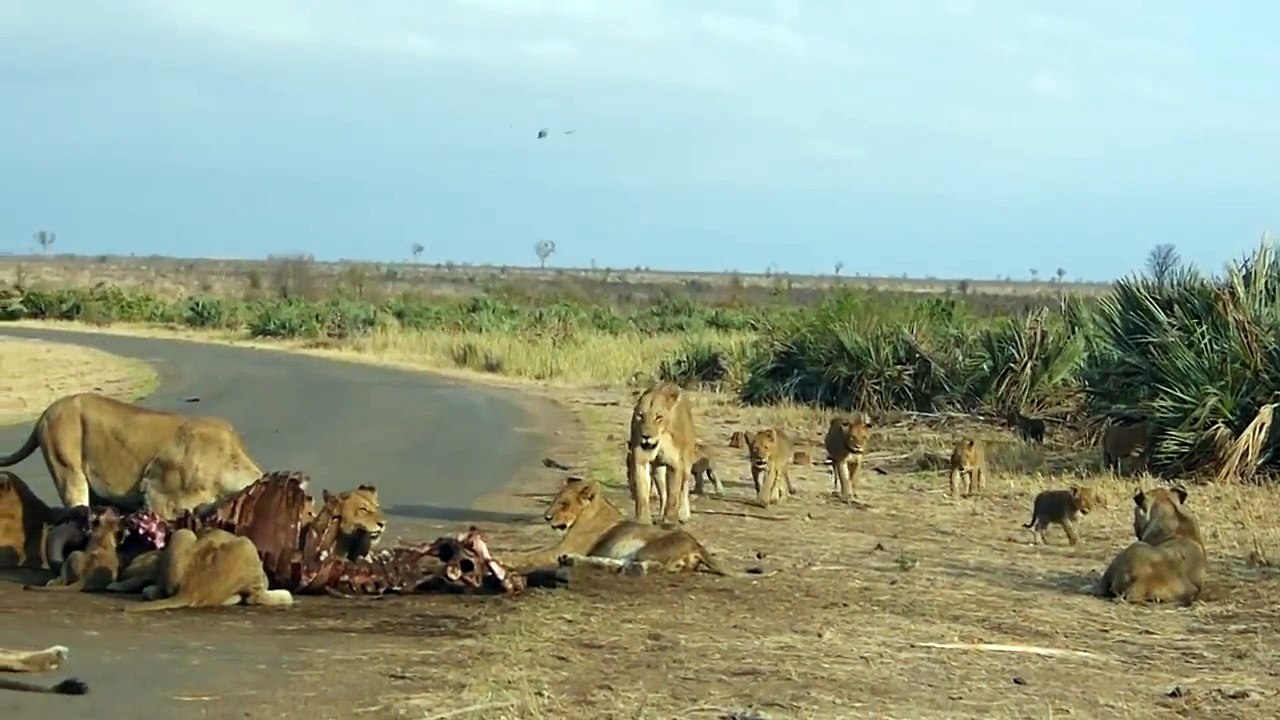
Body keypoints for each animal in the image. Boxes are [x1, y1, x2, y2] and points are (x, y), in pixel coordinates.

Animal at [627, 381, 700, 525]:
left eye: (658, 417)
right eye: (640, 415)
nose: (646, 436)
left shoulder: (675, 464)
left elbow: (674, 493)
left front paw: (670, 519)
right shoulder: (641, 459)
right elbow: (642, 491)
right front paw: (643, 519)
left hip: (687, 463)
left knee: (684, 487)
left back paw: (684, 514)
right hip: (657, 469)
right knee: (663, 492)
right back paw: (661, 514)